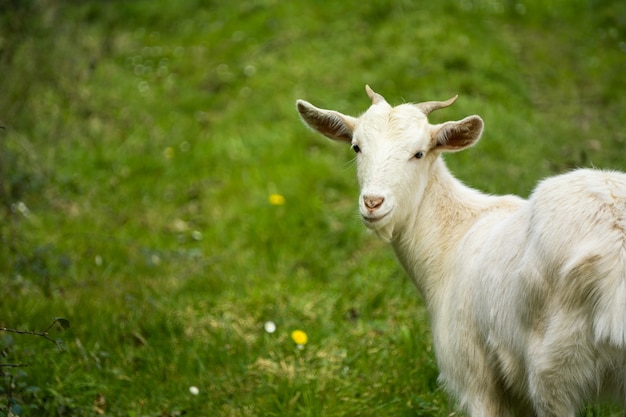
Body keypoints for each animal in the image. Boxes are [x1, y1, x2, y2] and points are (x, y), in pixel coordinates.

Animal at [294, 85, 624, 416]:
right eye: (356, 147)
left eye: (419, 153)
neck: (454, 236)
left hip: (553, 366)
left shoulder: (473, 372)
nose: (373, 202)